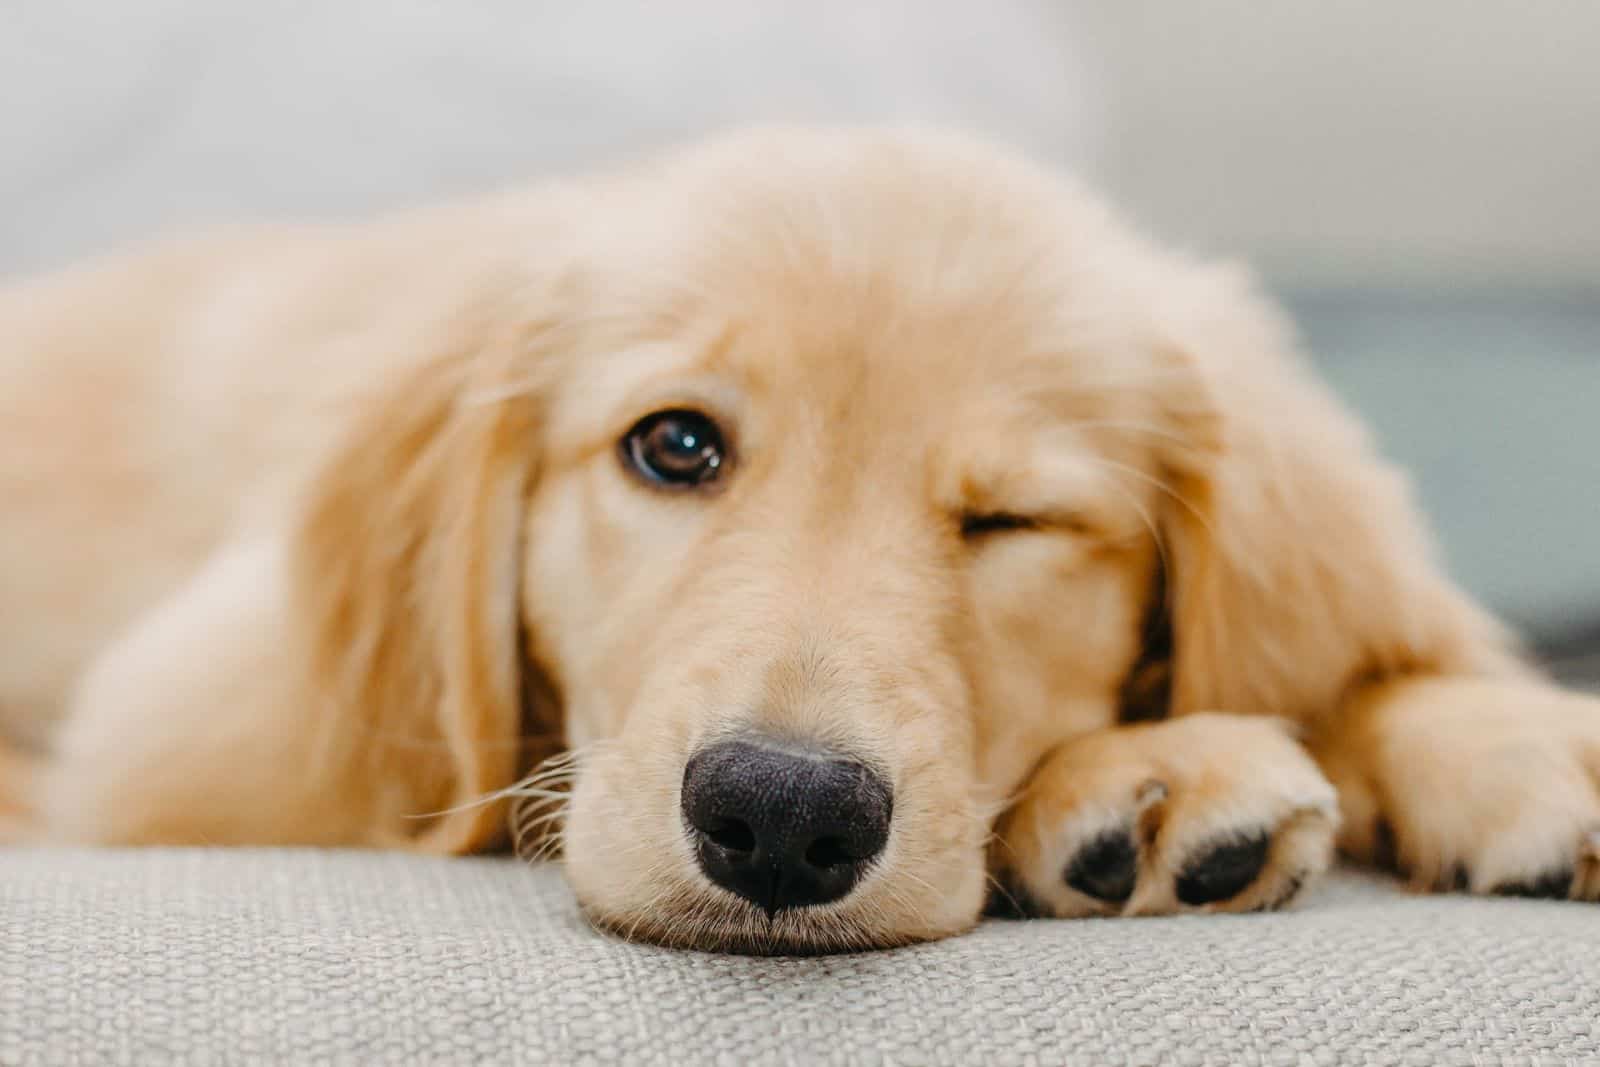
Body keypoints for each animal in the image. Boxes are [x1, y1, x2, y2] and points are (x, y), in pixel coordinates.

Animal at [3, 125, 1600, 953]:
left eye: (1012, 519)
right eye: (675, 445)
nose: (777, 813)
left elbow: (1372, 660)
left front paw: (1512, 736)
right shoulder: (187, 744)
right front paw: (1146, 767)